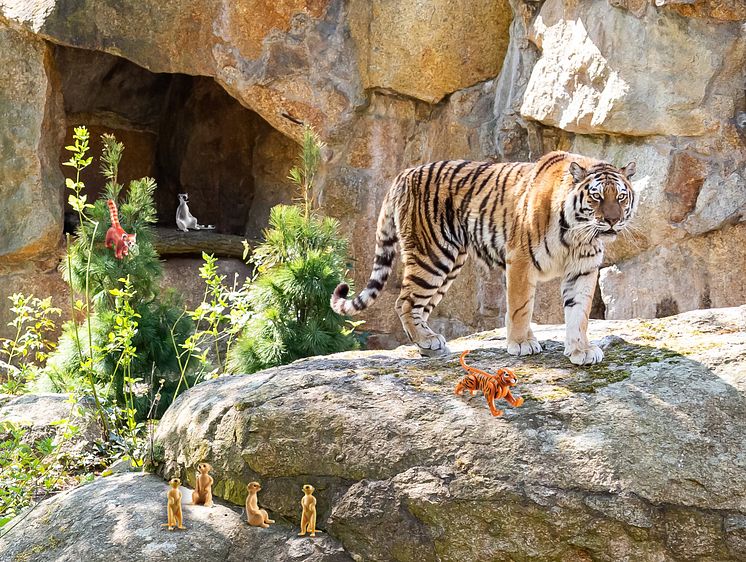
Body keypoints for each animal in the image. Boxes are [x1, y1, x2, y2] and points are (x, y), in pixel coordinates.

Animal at [330, 151, 632, 366]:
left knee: (419, 307)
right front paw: (521, 344)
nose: (612, 220)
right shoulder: (520, 261)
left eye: (620, 197)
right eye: (596, 197)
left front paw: (581, 350)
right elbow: (520, 307)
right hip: (433, 255)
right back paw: (427, 341)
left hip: (449, 264)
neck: (579, 234)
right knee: (404, 302)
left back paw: (429, 345)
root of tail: (405, 173)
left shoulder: (583, 269)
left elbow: (578, 313)